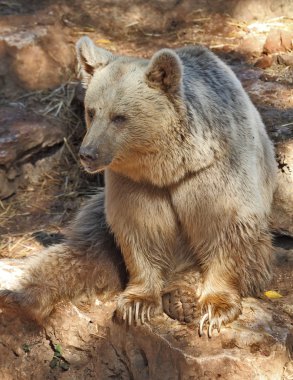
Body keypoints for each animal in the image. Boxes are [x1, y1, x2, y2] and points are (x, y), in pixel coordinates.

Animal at [0, 37, 276, 336]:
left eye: (119, 117)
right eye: (91, 111)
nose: (87, 153)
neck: (168, 168)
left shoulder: (212, 174)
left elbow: (224, 228)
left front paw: (215, 308)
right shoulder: (133, 185)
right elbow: (140, 231)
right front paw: (137, 304)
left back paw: (182, 294)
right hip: (96, 217)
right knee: (80, 253)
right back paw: (22, 297)